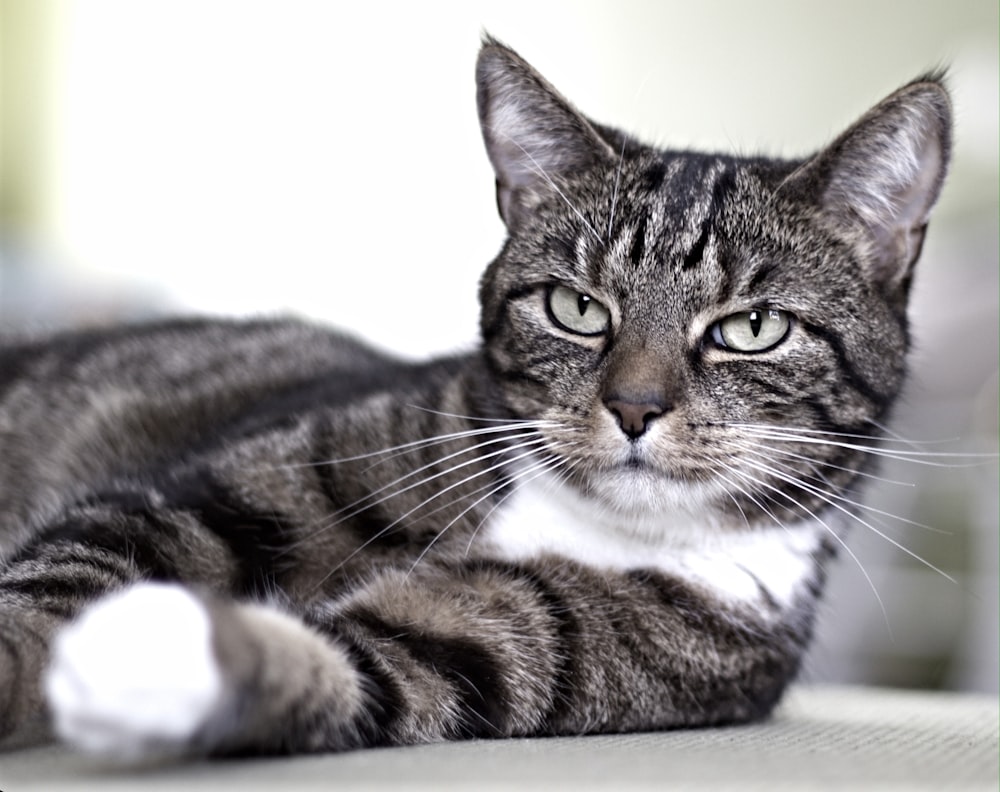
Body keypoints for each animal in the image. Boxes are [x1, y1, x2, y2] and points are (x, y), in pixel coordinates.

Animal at [0, 38, 952, 760]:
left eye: (752, 327)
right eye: (576, 308)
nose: (634, 408)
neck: (576, 515)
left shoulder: (519, 649)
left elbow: (357, 668)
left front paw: (152, 659)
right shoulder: (224, 494)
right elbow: (69, 572)